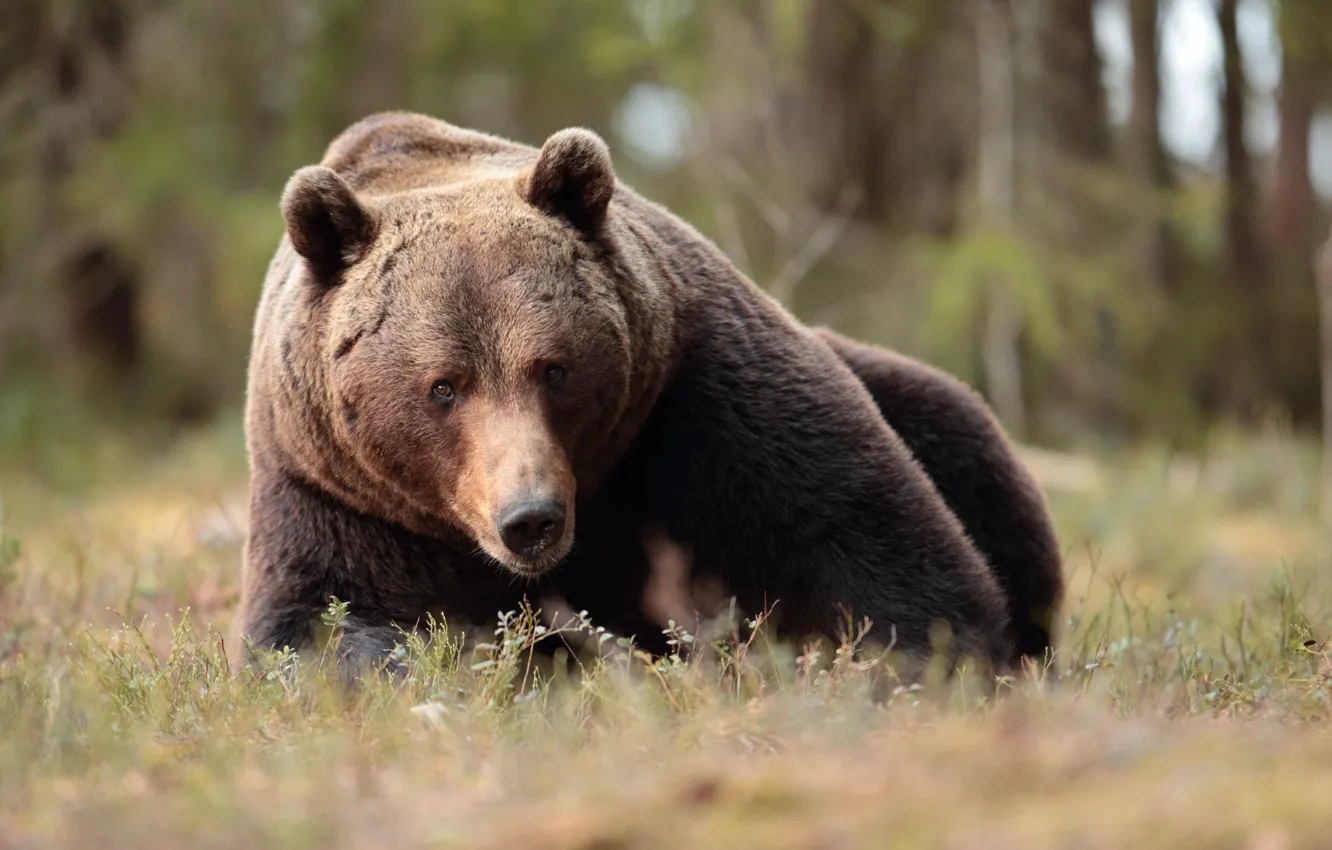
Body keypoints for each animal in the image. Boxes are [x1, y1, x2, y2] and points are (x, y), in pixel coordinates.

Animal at [236, 110, 1039, 680]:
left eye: (552, 368)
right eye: (444, 387)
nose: (530, 519)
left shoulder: (694, 393)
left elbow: (851, 520)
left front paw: (920, 661)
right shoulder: (334, 493)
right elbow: (317, 628)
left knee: (964, 441)